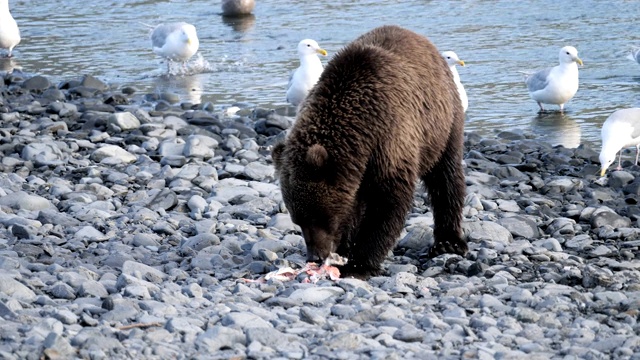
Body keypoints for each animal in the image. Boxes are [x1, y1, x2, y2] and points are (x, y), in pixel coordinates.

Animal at [270, 25, 464, 278]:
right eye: (297, 220)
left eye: (319, 217)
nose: (315, 256)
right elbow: (354, 209)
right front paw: (345, 251)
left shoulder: (390, 139)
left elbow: (386, 205)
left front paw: (359, 263)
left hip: (442, 123)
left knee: (446, 176)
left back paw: (448, 242)